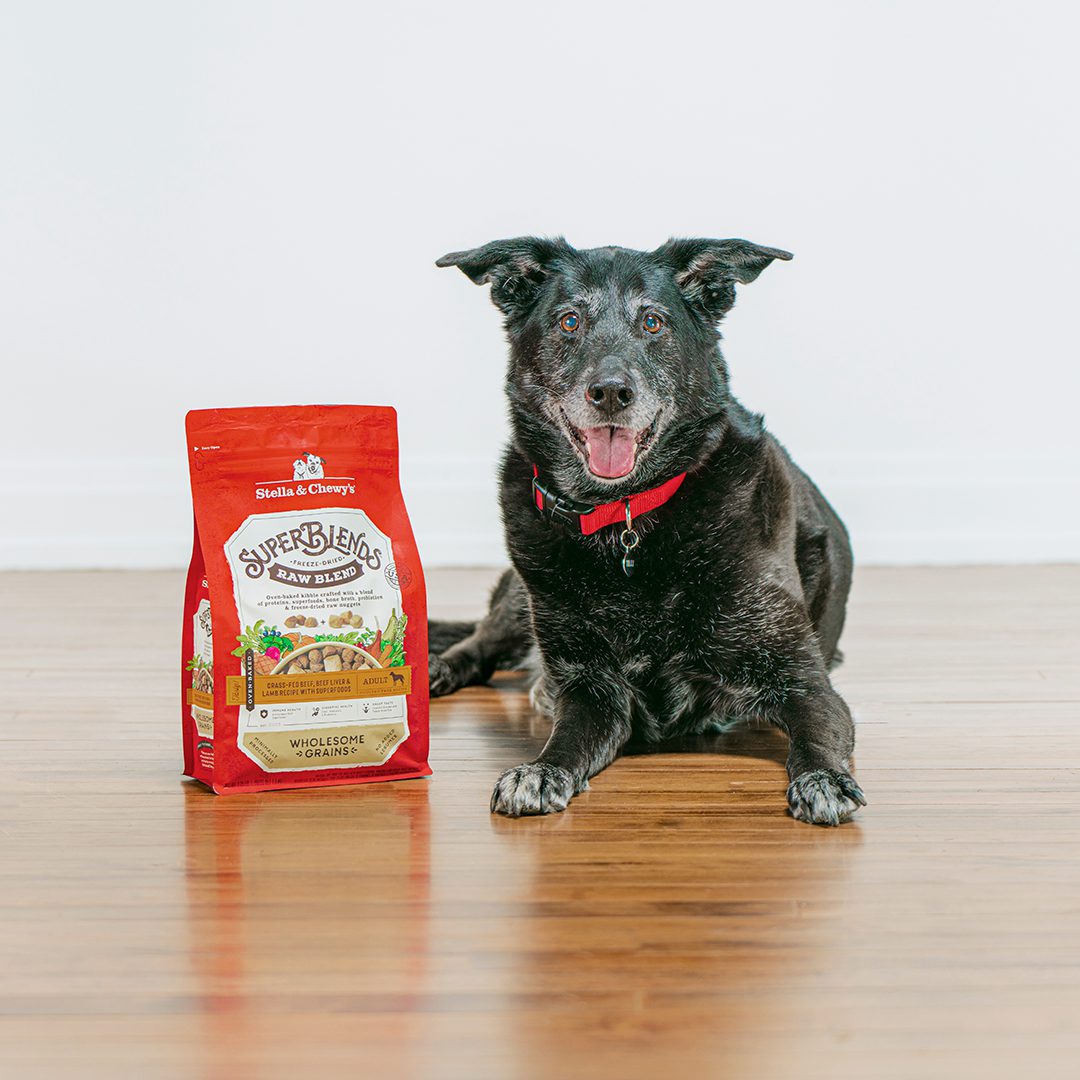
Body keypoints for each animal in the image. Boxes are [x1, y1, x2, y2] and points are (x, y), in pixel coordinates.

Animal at [425, 238, 864, 825]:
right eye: (569, 321)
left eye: (653, 322)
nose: (611, 392)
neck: (626, 519)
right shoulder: (591, 688)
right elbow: (565, 738)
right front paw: (540, 771)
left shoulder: (803, 679)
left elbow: (815, 731)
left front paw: (823, 778)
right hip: (525, 594)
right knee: (479, 642)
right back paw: (439, 669)